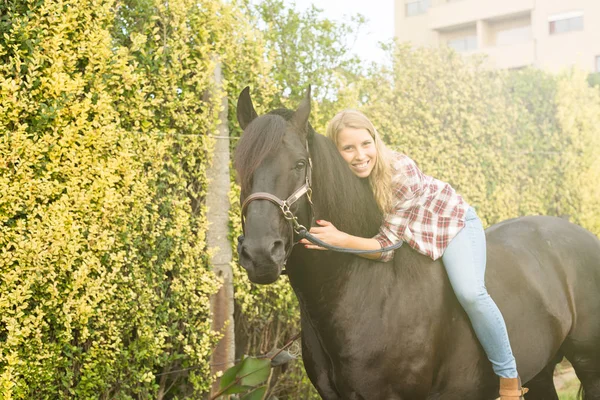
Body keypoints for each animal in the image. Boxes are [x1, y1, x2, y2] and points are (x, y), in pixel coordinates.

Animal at [232, 86, 600, 398]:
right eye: (240, 165)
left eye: (299, 164)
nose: (261, 254)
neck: (367, 289)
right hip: (542, 371)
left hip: (588, 365)